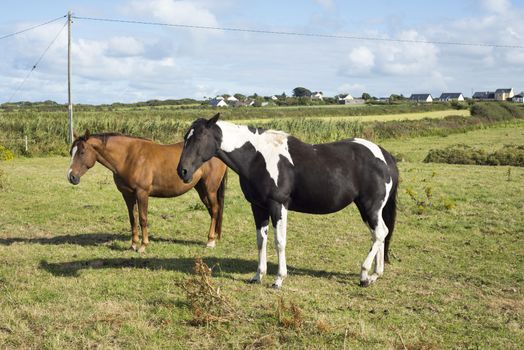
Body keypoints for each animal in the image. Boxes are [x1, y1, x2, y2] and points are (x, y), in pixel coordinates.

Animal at [67, 129, 227, 252]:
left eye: (82, 152)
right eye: (71, 152)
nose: (71, 177)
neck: (129, 157)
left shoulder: (142, 193)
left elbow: (143, 219)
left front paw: (143, 246)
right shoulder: (127, 194)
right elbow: (133, 219)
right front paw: (133, 245)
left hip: (210, 189)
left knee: (215, 210)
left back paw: (210, 242)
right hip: (200, 188)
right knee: (212, 210)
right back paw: (213, 237)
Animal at [178, 113, 400, 288]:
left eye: (200, 137)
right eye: (186, 137)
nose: (183, 171)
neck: (257, 158)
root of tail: (384, 155)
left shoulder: (278, 205)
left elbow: (279, 241)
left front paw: (278, 280)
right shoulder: (258, 207)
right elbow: (261, 241)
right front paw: (258, 276)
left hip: (370, 207)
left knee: (380, 233)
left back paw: (364, 275)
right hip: (370, 209)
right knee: (380, 234)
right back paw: (375, 275)